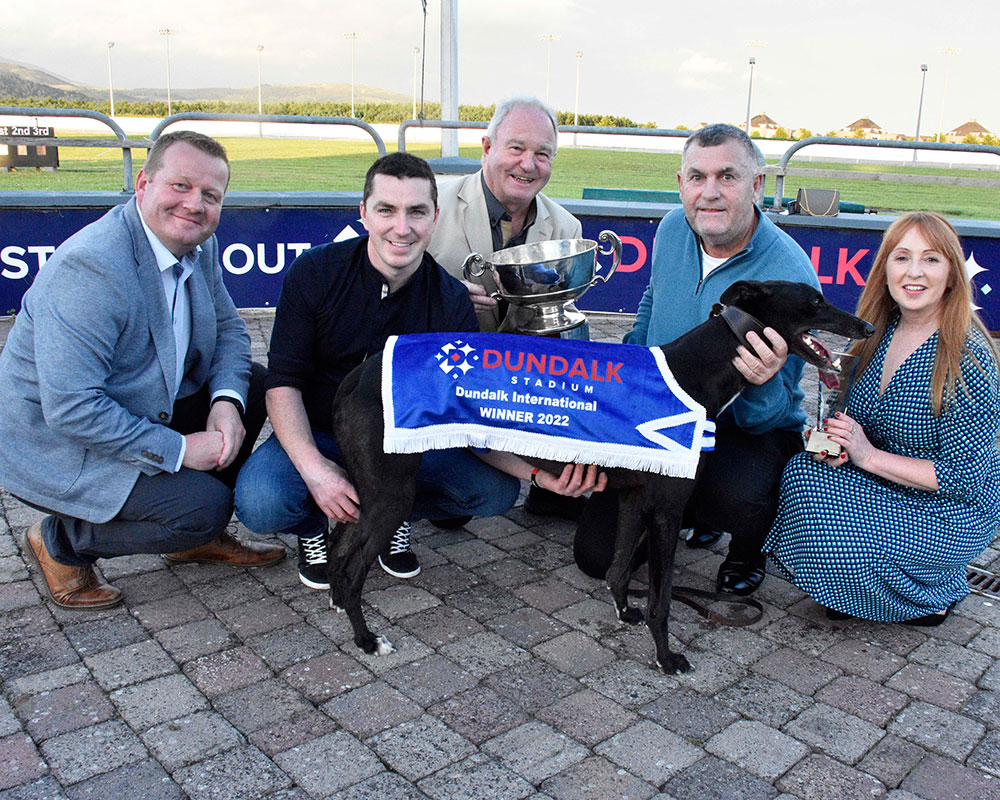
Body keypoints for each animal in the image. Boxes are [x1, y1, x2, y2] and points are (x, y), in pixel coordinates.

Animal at [327, 280, 874, 672]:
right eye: (814, 300)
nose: (866, 326)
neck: (694, 372)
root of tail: (357, 374)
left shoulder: (636, 500)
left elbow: (617, 569)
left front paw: (625, 613)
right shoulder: (667, 511)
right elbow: (662, 599)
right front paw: (666, 657)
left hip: (374, 488)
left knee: (339, 544)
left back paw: (336, 602)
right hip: (392, 491)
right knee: (352, 565)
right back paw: (366, 639)